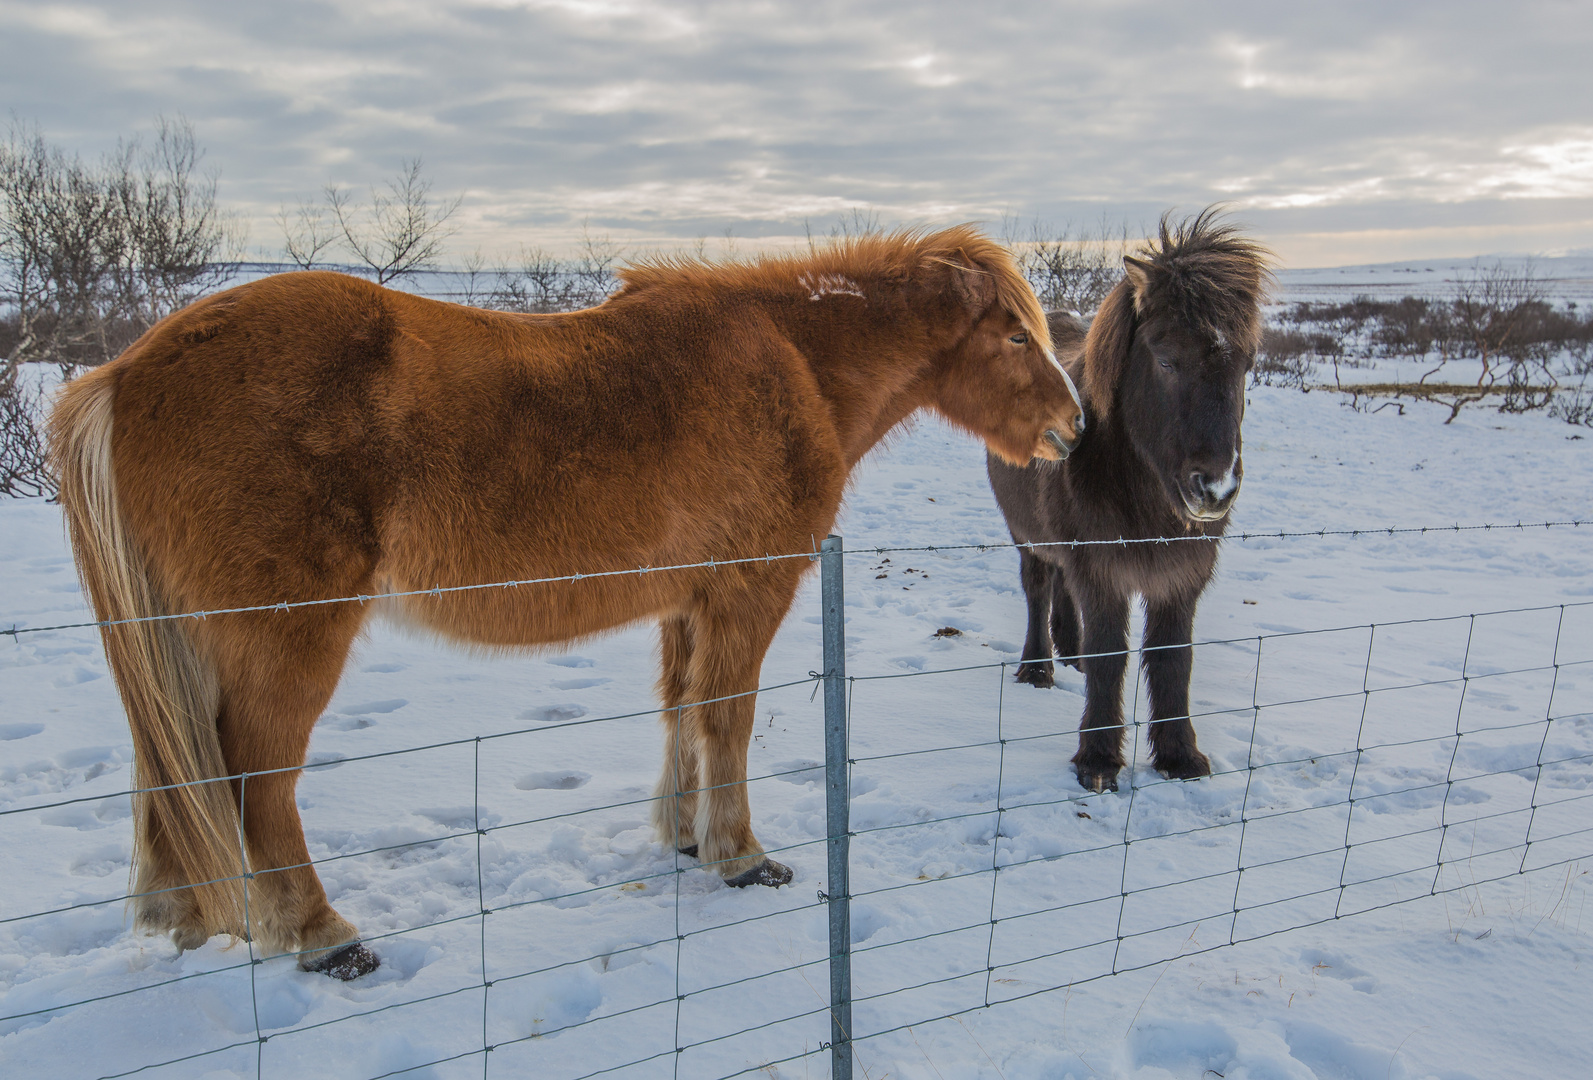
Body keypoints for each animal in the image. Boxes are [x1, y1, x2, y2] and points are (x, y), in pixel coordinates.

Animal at [56, 226, 1089, 981]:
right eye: (1013, 333)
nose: (1073, 429)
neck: (792, 360)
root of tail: (123, 376)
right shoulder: (748, 590)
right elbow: (727, 716)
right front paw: (741, 855)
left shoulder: (689, 600)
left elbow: (682, 712)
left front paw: (684, 837)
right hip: (284, 642)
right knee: (254, 780)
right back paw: (320, 935)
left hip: (186, 645)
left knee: (174, 783)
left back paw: (188, 927)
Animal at [981, 213, 1268, 796]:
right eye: (1166, 359)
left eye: (1247, 365)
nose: (1215, 489)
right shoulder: (1101, 569)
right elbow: (1111, 655)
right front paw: (1097, 759)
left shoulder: (1180, 575)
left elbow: (1172, 659)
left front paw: (1180, 756)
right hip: (1026, 535)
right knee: (1038, 589)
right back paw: (1039, 669)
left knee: (1061, 593)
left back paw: (1070, 654)